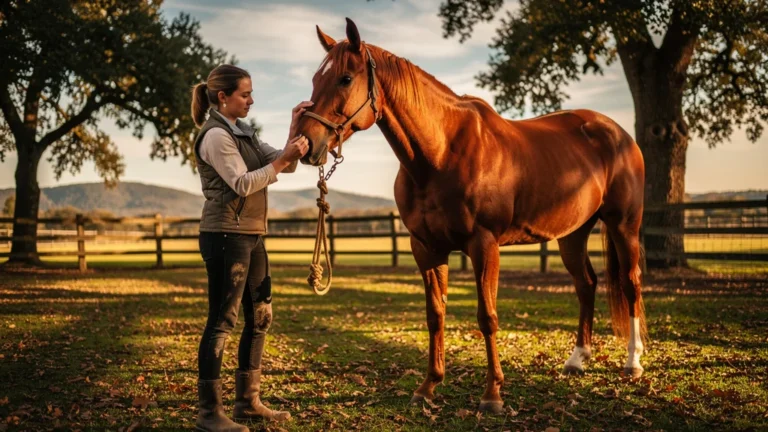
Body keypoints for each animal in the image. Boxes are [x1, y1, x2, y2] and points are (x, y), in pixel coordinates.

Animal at [297, 18, 647, 413]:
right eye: (316, 78)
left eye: (344, 78)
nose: (306, 143)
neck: (441, 153)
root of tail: (618, 134)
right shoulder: (426, 248)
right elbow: (435, 314)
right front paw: (428, 386)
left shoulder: (484, 245)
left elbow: (487, 317)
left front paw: (492, 394)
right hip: (572, 234)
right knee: (586, 284)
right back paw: (577, 359)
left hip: (624, 225)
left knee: (631, 284)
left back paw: (633, 362)